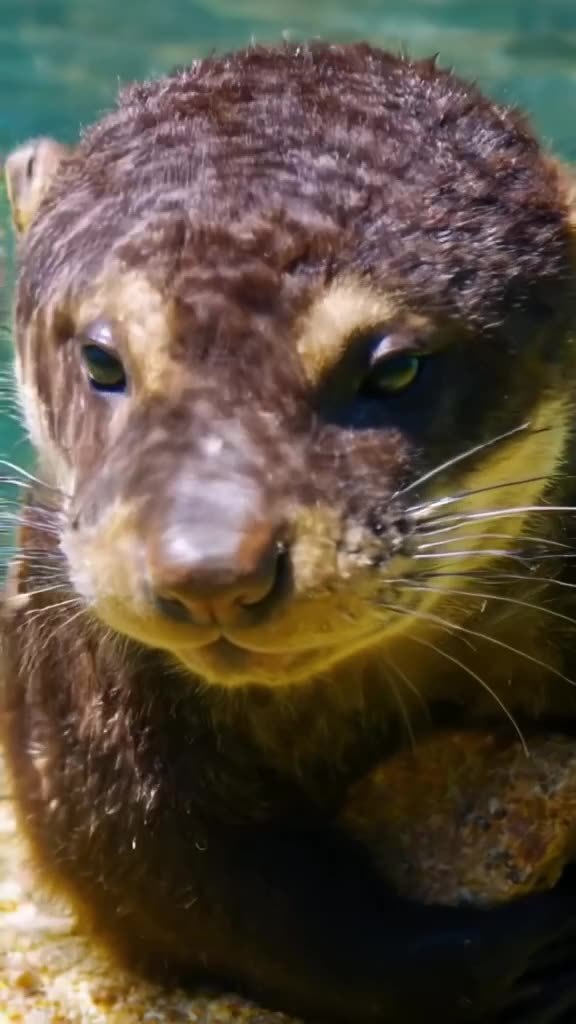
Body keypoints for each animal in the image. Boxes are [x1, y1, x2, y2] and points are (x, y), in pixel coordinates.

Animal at [3, 42, 576, 1023]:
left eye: (395, 369)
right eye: (103, 359)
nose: (210, 569)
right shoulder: (80, 720)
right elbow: (200, 891)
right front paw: (508, 959)